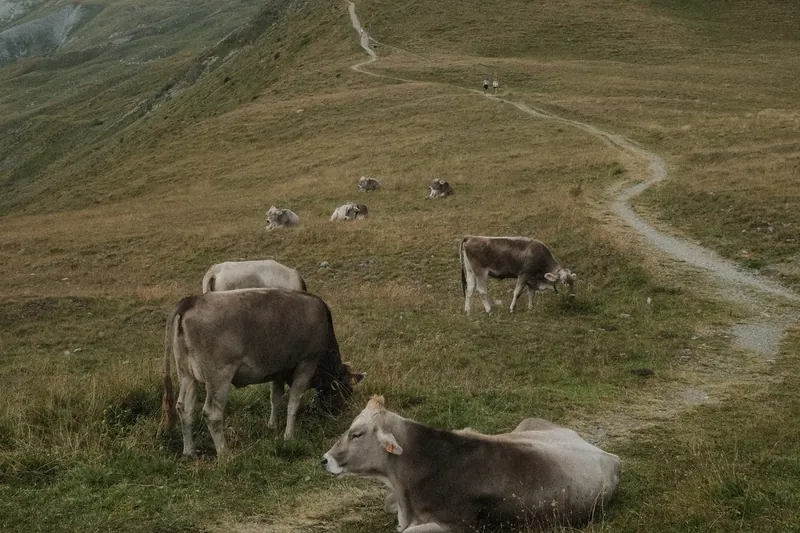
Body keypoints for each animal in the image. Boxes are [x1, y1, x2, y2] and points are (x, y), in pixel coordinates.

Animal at [161, 289, 365, 457]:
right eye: (346, 391)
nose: (339, 415)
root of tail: (191, 301)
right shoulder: (306, 363)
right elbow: (293, 402)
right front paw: (289, 435)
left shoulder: (278, 370)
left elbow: (276, 398)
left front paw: (272, 425)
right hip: (218, 376)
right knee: (212, 413)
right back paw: (224, 453)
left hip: (186, 374)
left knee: (184, 408)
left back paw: (189, 451)